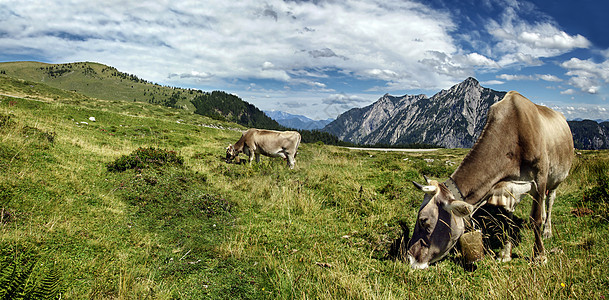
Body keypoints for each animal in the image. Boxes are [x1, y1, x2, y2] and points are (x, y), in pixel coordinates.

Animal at [404, 91, 568, 270]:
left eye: (423, 221)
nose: (410, 258)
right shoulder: (506, 189)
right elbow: (506, 221)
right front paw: (505, 254)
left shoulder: (539, 178)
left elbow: (535, 220)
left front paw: (539, 256)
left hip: (555, 179)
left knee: (550, 201)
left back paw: (547, 231)